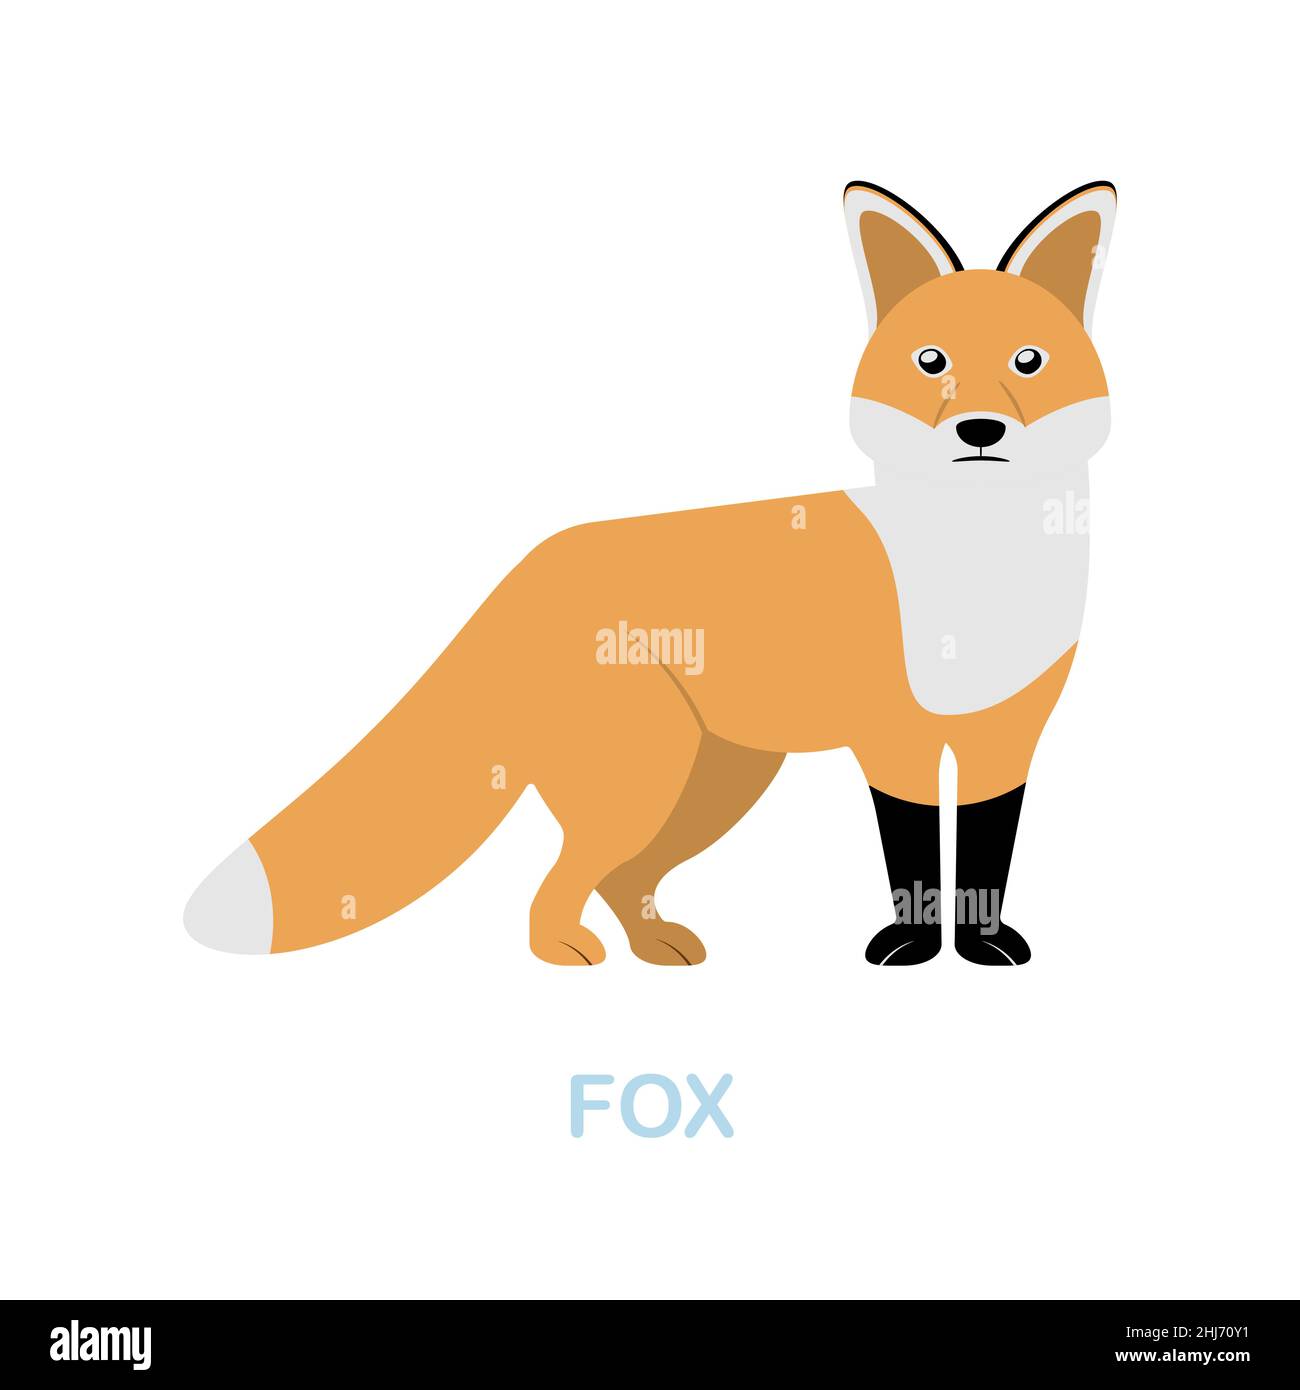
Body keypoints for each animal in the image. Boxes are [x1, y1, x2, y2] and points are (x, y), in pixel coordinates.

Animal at [185, 180, 1115, 968]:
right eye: (930, 362)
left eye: (1030, 361)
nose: (980, 429)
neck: (976, 569)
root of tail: (533, 562)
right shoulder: (895, 740)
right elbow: (917, 850)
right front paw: (914, 948)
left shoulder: (1008, 737)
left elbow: (987, 850)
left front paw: (984, 946)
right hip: (645, 783)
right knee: (566, 878)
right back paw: (563, 952)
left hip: (712, 785)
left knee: (619, 878)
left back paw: (658, 947)